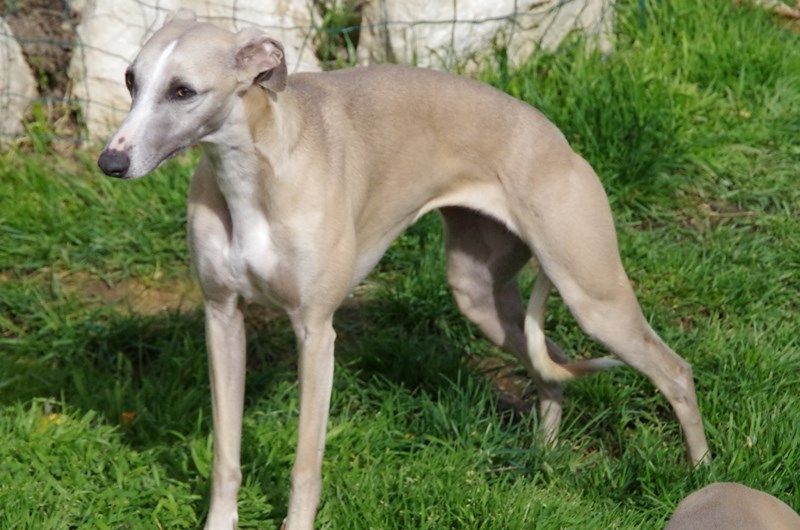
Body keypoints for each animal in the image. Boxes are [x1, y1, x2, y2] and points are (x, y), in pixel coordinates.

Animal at [97, 10, 710, 529]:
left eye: (183, 90)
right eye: (130, 80)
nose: (110, 161)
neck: (254, 172)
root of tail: (557, 138)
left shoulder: (316, 333)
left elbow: (304, 464)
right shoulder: (222, 317)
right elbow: (226, 453)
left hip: (593, 293)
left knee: (674, 370)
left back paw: (701, 473)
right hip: (478, 293)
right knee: (552, 368)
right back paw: (545, 457)